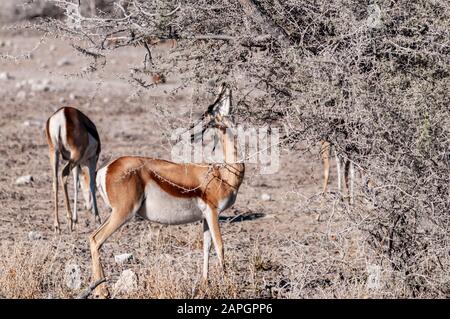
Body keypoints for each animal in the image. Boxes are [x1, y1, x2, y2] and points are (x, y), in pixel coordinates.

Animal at [45, 106, 101, 234]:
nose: (88, 207)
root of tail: (62, 113)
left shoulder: (78, 164)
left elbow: (76, 185)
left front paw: (75, 221)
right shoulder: (92, 159)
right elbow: (91, 183)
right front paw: (97, 218)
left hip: (54, 152)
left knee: (55, 181)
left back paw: (58, 225)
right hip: (74, 156)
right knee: (63, 174)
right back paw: (69, 220)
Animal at [91, 84, 244, 298]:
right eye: (213, 106)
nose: (225, 85)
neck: (223, 174)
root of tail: (106, 169)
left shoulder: (205, 216)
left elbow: (206, 247)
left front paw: (205, 283)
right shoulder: (213, 212)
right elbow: (220, 246)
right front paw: (229, 286)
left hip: (116, 213)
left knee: (93, 238)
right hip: (123, 213)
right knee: (96, 239)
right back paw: (102, 291)